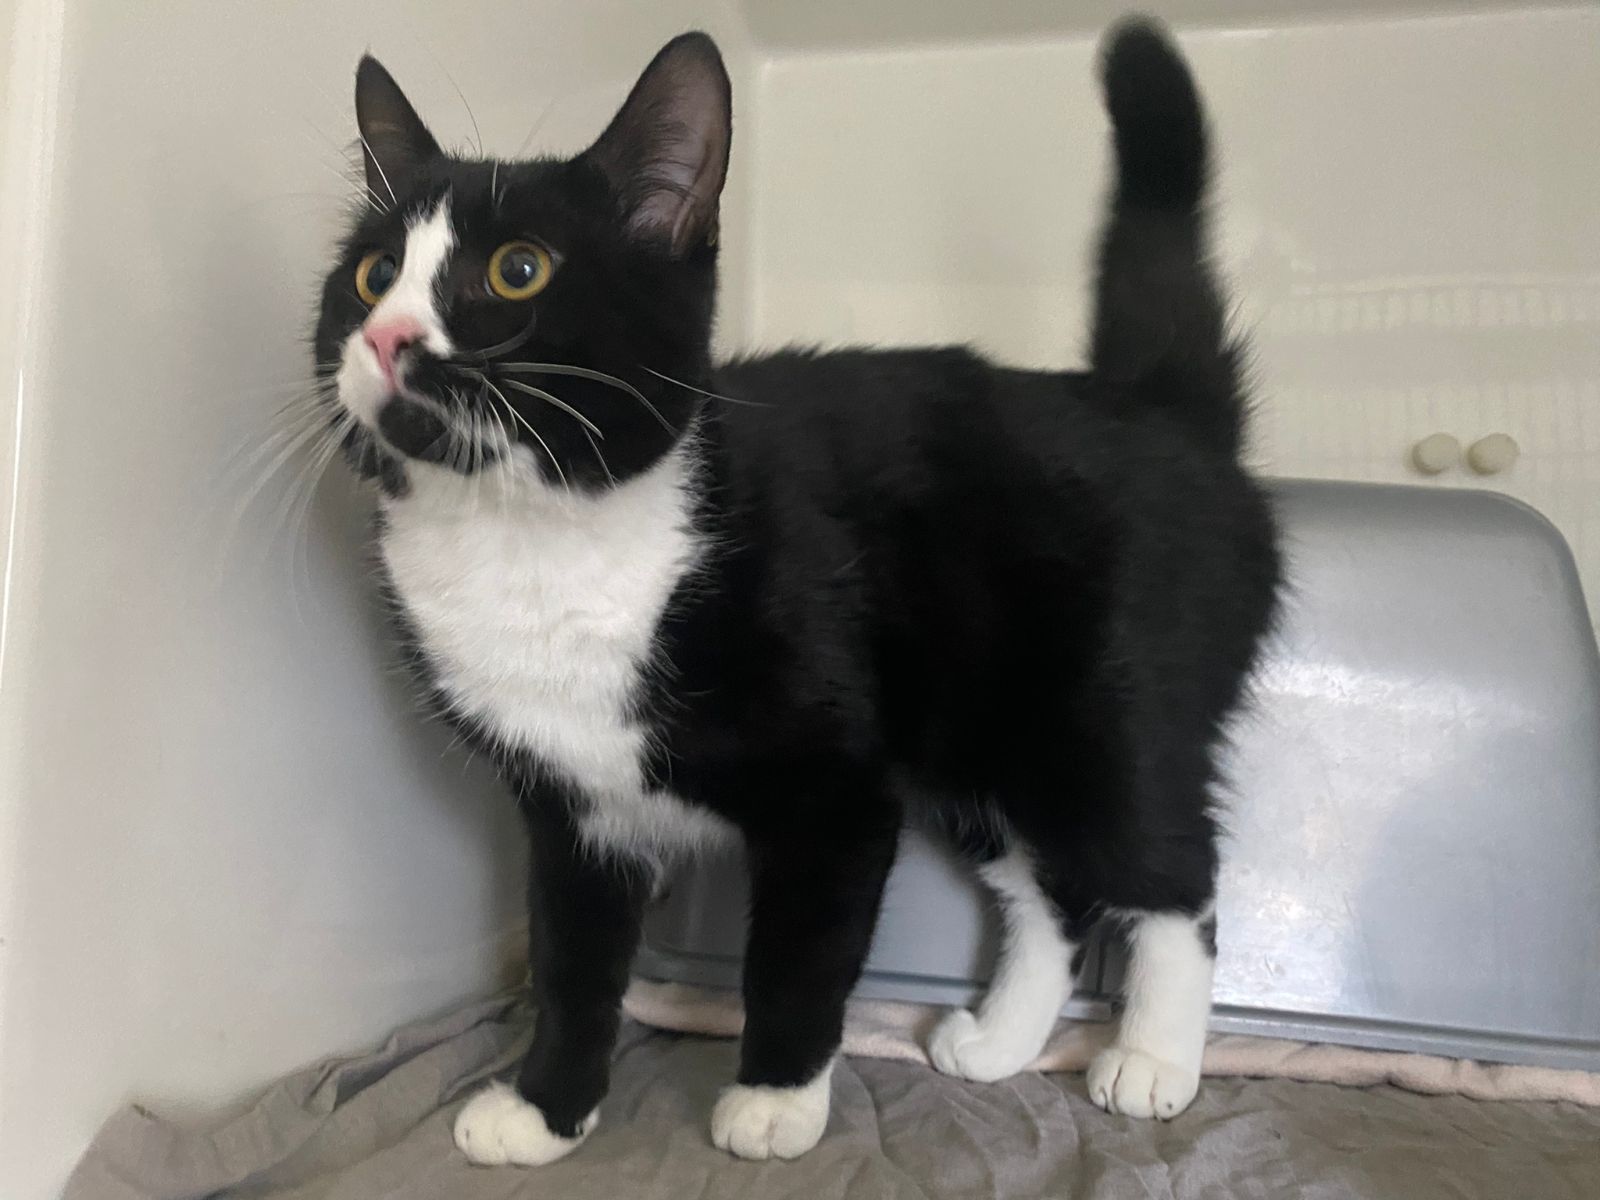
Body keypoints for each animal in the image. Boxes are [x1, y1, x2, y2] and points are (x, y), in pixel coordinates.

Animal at [311, 15, 1280, 1167]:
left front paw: (775, 1098)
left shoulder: (838, 794)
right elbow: (571, 959)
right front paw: (547, 1107)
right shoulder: (571, 808)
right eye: (372, 274)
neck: (535, 541)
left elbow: (800, 951)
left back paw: (1152, 1058)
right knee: (1047, 892)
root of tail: (1160, 411)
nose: (384, 338)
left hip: (1105, 715)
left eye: (517, 270)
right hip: (970, 738)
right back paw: (999, 1042)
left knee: (1169, 871)